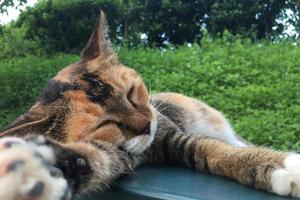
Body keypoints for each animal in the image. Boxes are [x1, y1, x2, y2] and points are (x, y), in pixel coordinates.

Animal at [0, 11, 300, 200]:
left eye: (131, 93)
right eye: (105, 123)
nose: (146, 126)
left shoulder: (173, 133)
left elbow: (215, 149)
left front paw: (284, 163)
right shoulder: (121, 154)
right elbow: (92, 157)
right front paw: (33, 167)